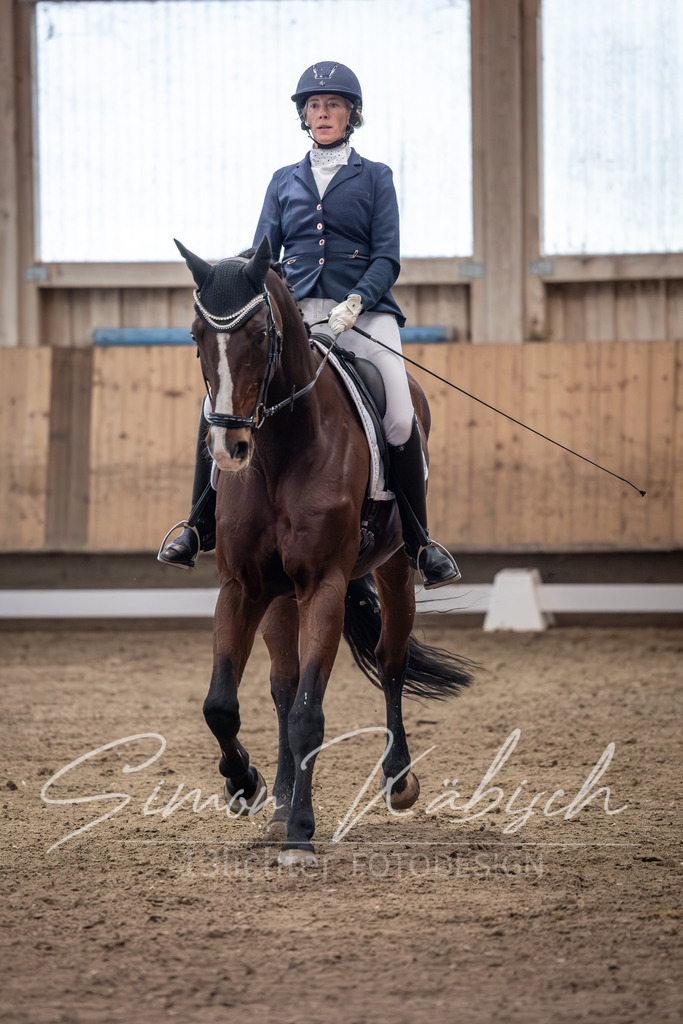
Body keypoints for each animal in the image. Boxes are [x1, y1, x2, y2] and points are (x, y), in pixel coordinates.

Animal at [175, 234, 474, 865]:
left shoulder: (324, 587)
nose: (229, 446)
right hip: (279, 598)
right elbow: (223, 704)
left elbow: (311, 714)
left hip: (392, 569)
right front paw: (247, 786)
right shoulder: (242, 587)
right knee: (283, 687)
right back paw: (280, 796)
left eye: (258, 332)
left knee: (389, 662)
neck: (280, 451)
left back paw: (397, 779)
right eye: (195, 334)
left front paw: (300, 835)